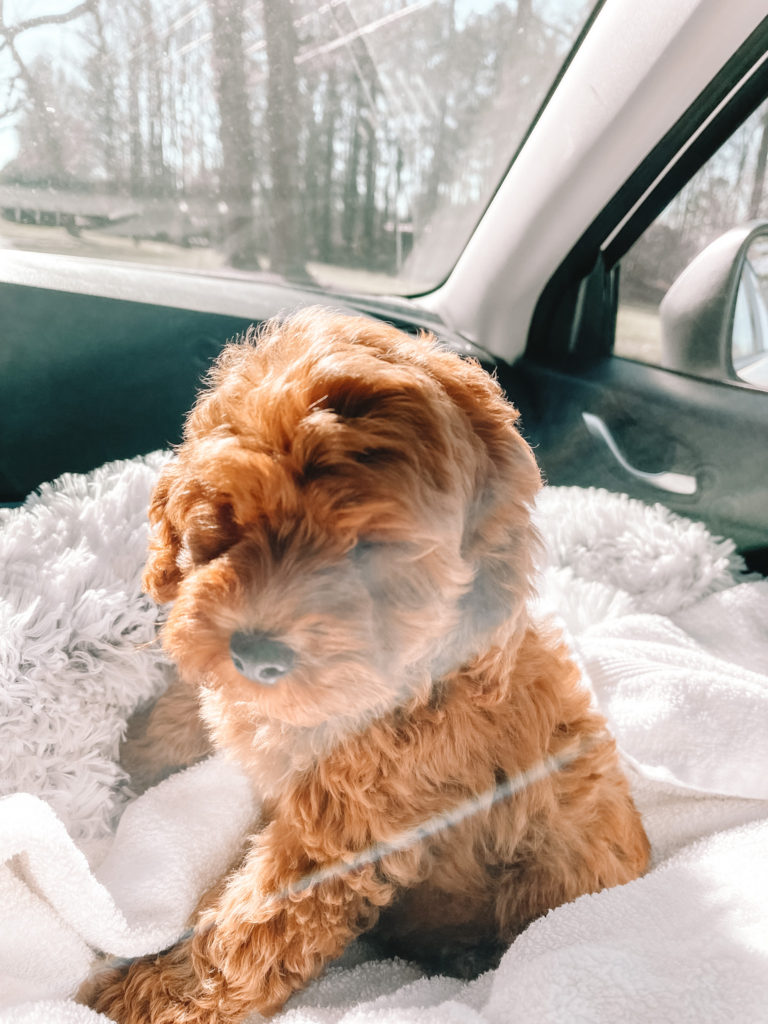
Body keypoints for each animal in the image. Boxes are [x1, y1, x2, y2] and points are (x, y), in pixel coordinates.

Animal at [83, 307, 651, 1019]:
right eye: (224, 522)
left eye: (369, 557)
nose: (258, 654)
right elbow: (202, 707)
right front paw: (137, 754)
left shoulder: (345, 837)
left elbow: (245, 931)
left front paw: (141, 999)